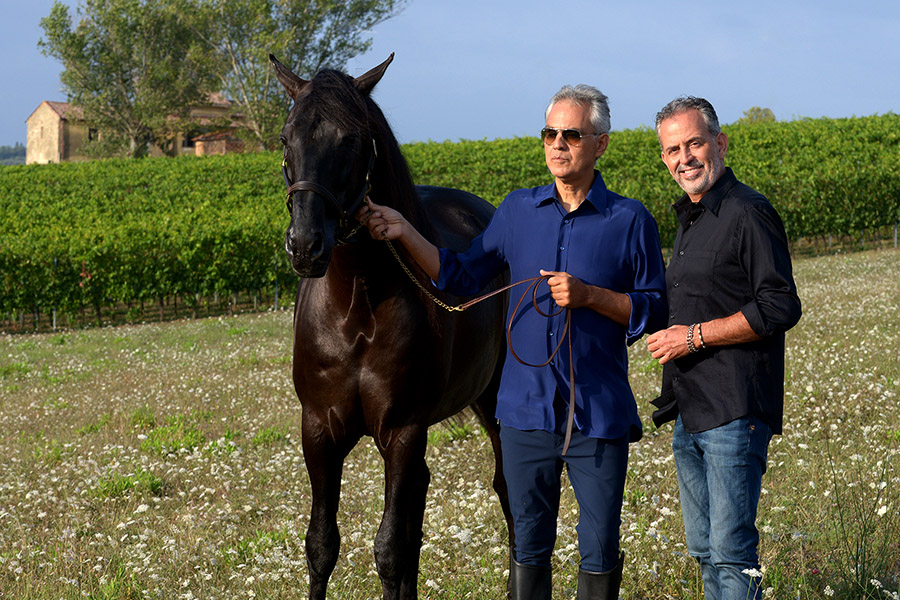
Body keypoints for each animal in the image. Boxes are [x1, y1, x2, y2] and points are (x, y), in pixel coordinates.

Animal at [268, 54, 512, 596]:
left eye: (350, 139)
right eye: (286, 137)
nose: (306, 245)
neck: (356, 306)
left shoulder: (402, 431)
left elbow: (389, 549)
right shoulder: (318, 432)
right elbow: (322, 544)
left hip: (495, 403)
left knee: (511, 492)